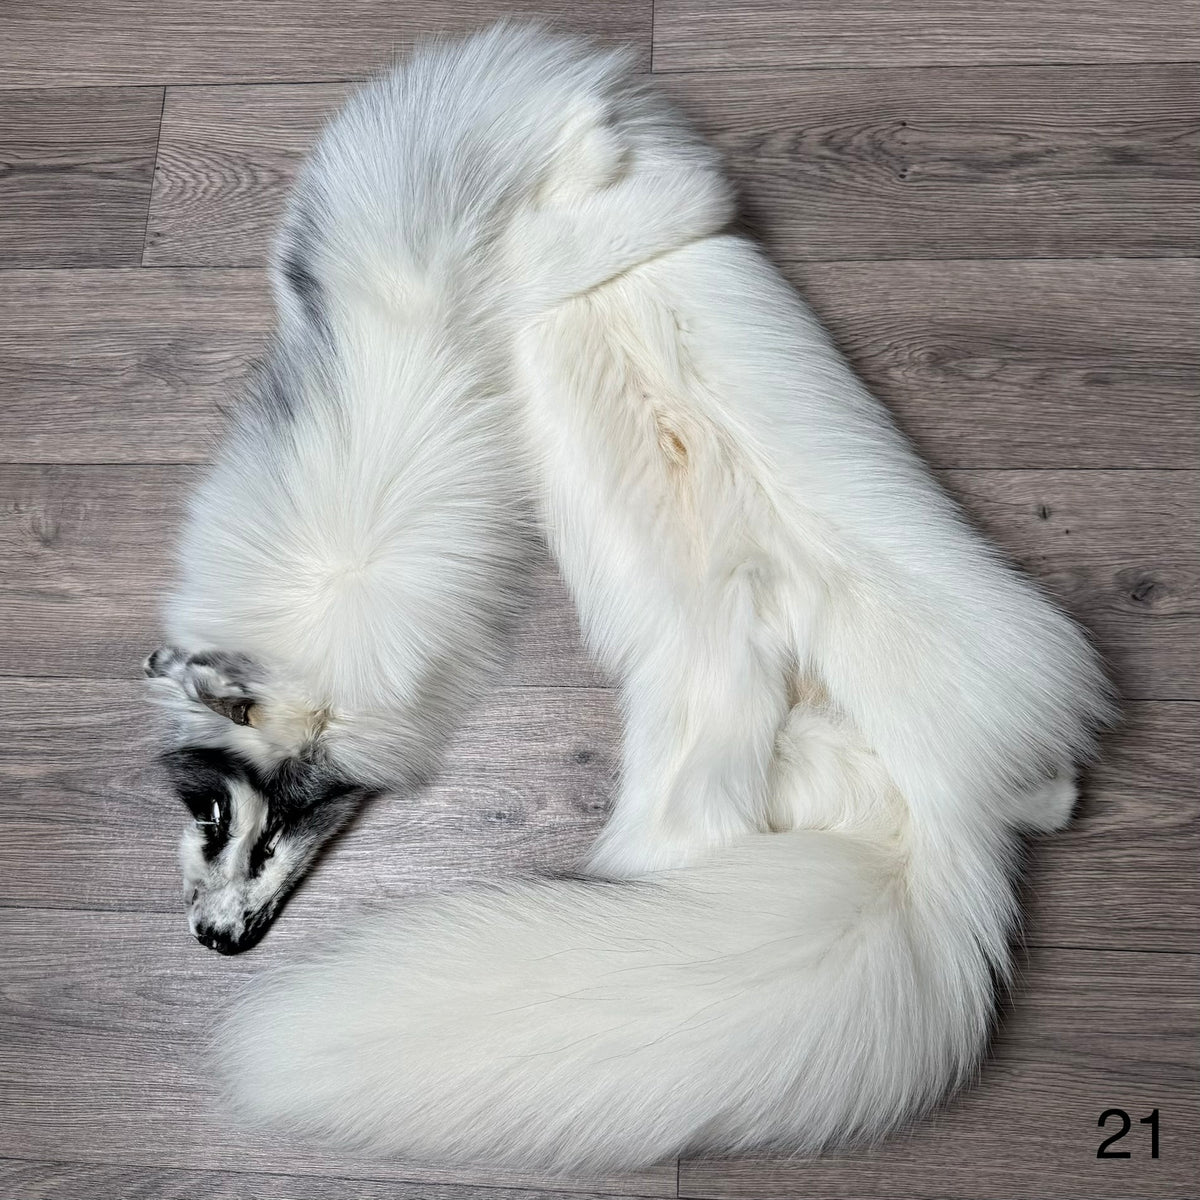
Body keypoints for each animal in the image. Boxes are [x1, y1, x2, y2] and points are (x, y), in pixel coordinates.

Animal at [147, 23, 1111, 1173]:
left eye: (267, 830)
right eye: (215, 820)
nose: (218, 944)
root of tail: (919, 819)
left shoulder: (607, 219)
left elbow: (611, 214)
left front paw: (589, 152)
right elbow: (591, 226)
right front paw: (587, 157)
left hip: (947, 642)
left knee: (1026, 773)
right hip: (737, 758)